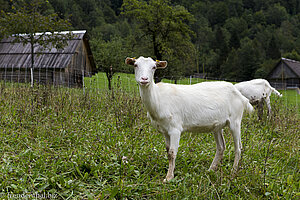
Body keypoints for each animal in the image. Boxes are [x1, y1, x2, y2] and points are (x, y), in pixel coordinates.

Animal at [125, 56, 253, 183]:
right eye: (135, 65)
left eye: (154, 67)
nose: (144, 79)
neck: (158, 99)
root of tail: (240, 96)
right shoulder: (165, 130)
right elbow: (167, 151)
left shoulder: (175, 128)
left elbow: (172, 153)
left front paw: (169, 178)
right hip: (218, 126)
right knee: (221, 147)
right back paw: (211, 170)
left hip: (235, 120)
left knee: (238, 148)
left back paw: (233, 172)